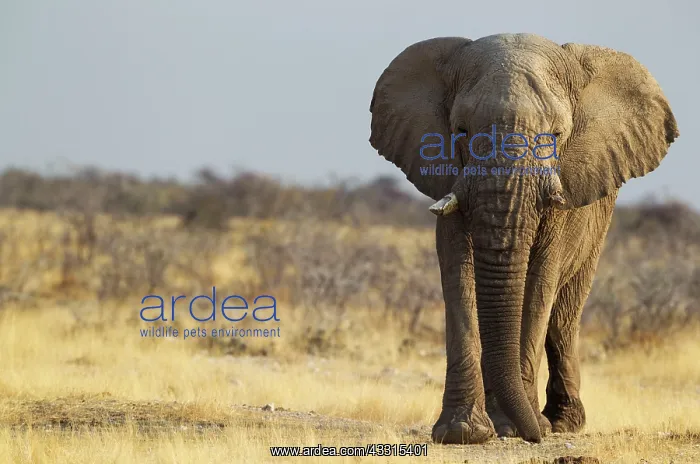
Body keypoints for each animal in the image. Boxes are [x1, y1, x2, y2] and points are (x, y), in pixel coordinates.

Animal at [368, 33, 678, 444]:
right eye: (461, 131)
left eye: (556, 136)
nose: (536, 437)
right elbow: (458, 275)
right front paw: (463, 433)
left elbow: (539, 283)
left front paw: (517, 428)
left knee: (563, 317)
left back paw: (561, 422)